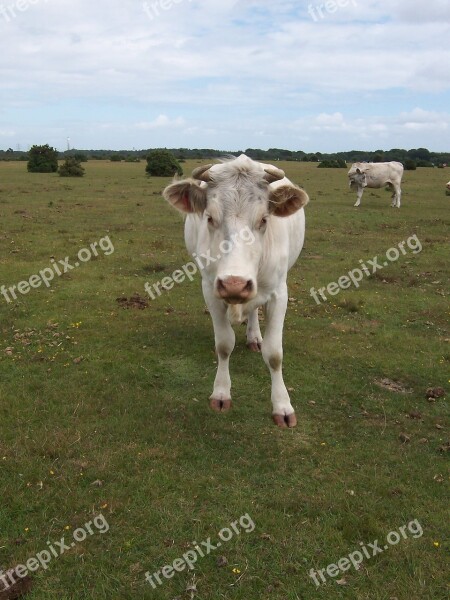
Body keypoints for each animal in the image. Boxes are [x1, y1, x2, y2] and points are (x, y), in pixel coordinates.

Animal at [164, 155, 310, 426]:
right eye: (210, 217)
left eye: (264, 219)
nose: (235, 283)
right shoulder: (210, 289)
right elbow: (224, 344)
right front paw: (221, 393)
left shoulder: (279, 293)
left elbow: (275, 354)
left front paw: (282, 406)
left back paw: (254, 337)